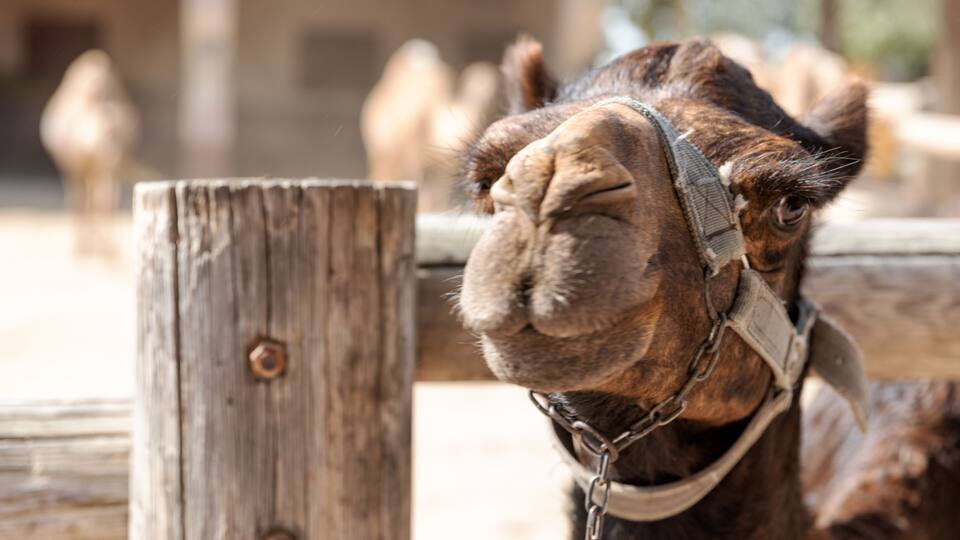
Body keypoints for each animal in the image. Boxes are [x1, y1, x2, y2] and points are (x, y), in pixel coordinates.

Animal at [41, 49, 140, 257]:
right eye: (107, 135)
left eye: (119, 135)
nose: (113, 154)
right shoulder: (74, 166)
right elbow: (79, 199)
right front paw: (82, 248)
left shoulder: (107, 168)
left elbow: (106, 199)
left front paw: (107, 247)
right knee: (83, 198)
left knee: (97, 198)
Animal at [361, 39, 502, 213]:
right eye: (473, 81)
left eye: (495, 81)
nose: (485, 94)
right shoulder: (413, 153)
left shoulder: (442, 166)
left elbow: (438, 192)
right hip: (383, 149)